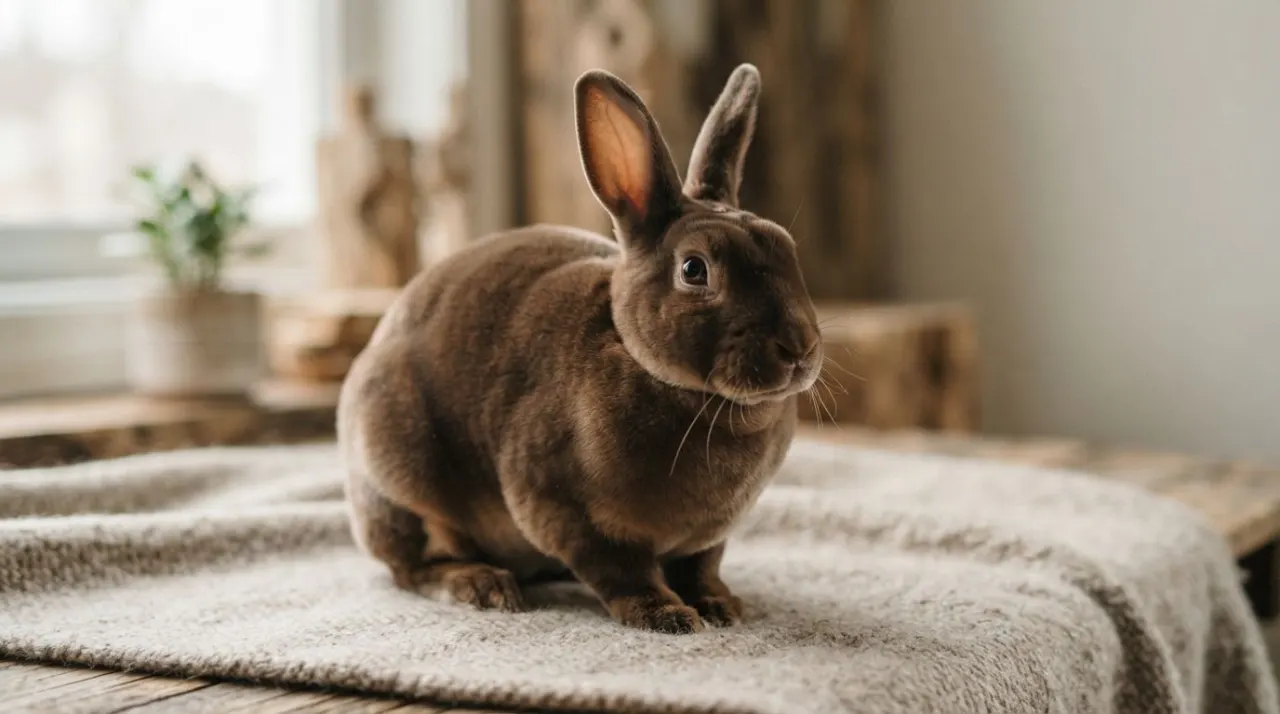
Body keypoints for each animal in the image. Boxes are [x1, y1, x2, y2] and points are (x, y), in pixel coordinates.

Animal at [337, 63, 822, 634]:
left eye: (787, 249)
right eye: (694, 270)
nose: (799, 348)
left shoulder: (706, 539)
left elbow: (701, 567)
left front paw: (721, 606)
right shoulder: (566, 509)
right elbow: (620, 571)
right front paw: (666, 616)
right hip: (401, 481)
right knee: (413, 567)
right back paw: (484, 586)